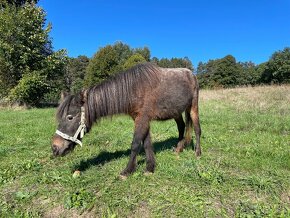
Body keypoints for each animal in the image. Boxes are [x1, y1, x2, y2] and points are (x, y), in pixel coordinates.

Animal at [51, 63, 202, 177]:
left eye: (70, 117)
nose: (55, 148)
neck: (134, 88)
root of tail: (191, 74)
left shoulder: (142, 119)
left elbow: (135, 144)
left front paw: (128, 170)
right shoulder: (140, 119)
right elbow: (146, 143)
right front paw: (149, 168)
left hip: (193, 107)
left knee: (197, 129)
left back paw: (197, 153)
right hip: (176, 112)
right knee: (182, 127)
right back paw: (179, 148)